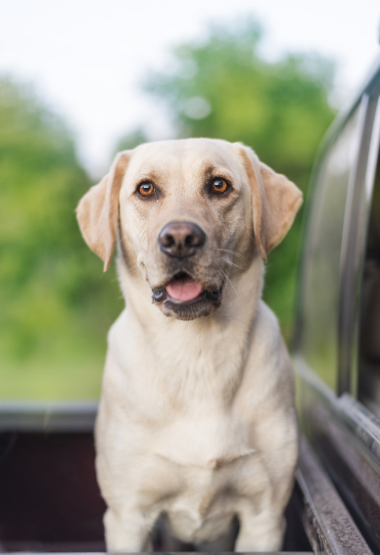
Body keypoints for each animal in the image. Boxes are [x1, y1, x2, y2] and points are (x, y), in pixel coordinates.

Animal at [76, 138, 302, 552]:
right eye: (145, 189)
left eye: (219, 185)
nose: (180, 238)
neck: (197, 354)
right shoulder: (128, 517)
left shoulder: (264, 517)